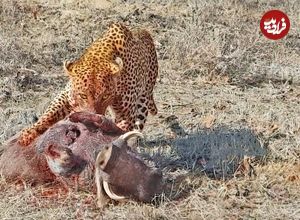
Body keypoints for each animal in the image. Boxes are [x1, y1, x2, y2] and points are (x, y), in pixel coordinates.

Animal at [18, 22, 159, 146]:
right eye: (83, 96)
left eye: (105, 96)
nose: (91, 120)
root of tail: (143, 32)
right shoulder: (67, 95)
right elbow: (48, 115)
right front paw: (28, 134)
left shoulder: (125, 114)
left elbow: (119, 131)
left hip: (143, 101)